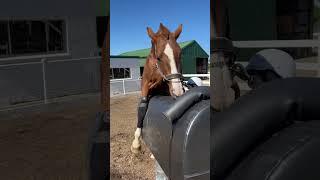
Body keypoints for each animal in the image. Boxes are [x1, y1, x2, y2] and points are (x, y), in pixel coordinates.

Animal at [131, 23, 184, 154]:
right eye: (159, 57)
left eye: (180, 54)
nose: (178, 92)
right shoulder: (145, 85)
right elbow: (142, 107)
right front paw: (136, 143)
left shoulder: (166, 89)